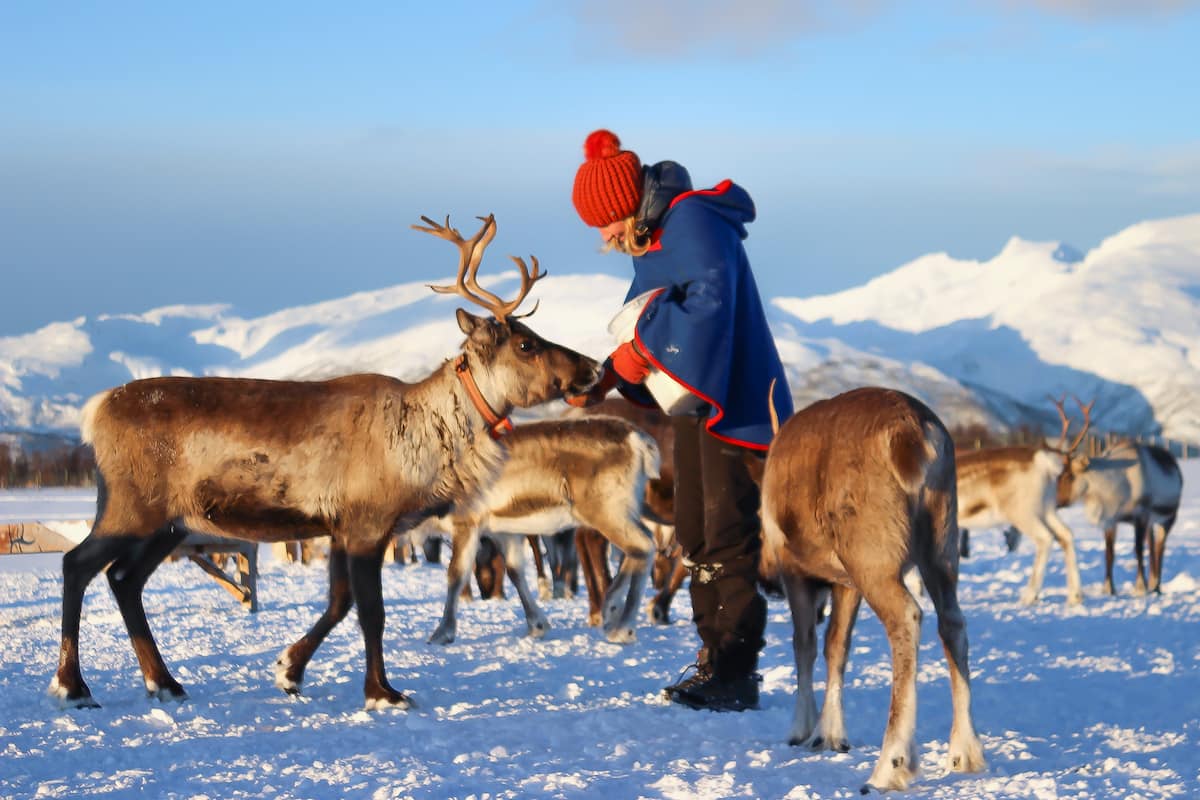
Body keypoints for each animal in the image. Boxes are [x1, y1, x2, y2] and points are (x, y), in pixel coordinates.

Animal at [758, 388, 984, 796]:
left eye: (757, 521)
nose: (766, 583)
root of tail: (916, 434)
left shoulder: (795, 568)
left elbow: (805, 644)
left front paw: (802, 728)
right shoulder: (845, 581)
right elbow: (837, 646)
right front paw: (830, 734)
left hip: (871, 556)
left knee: (907, 617)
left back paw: (891, 764)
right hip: (941, 543)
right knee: (953, 624)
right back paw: (965, 750)